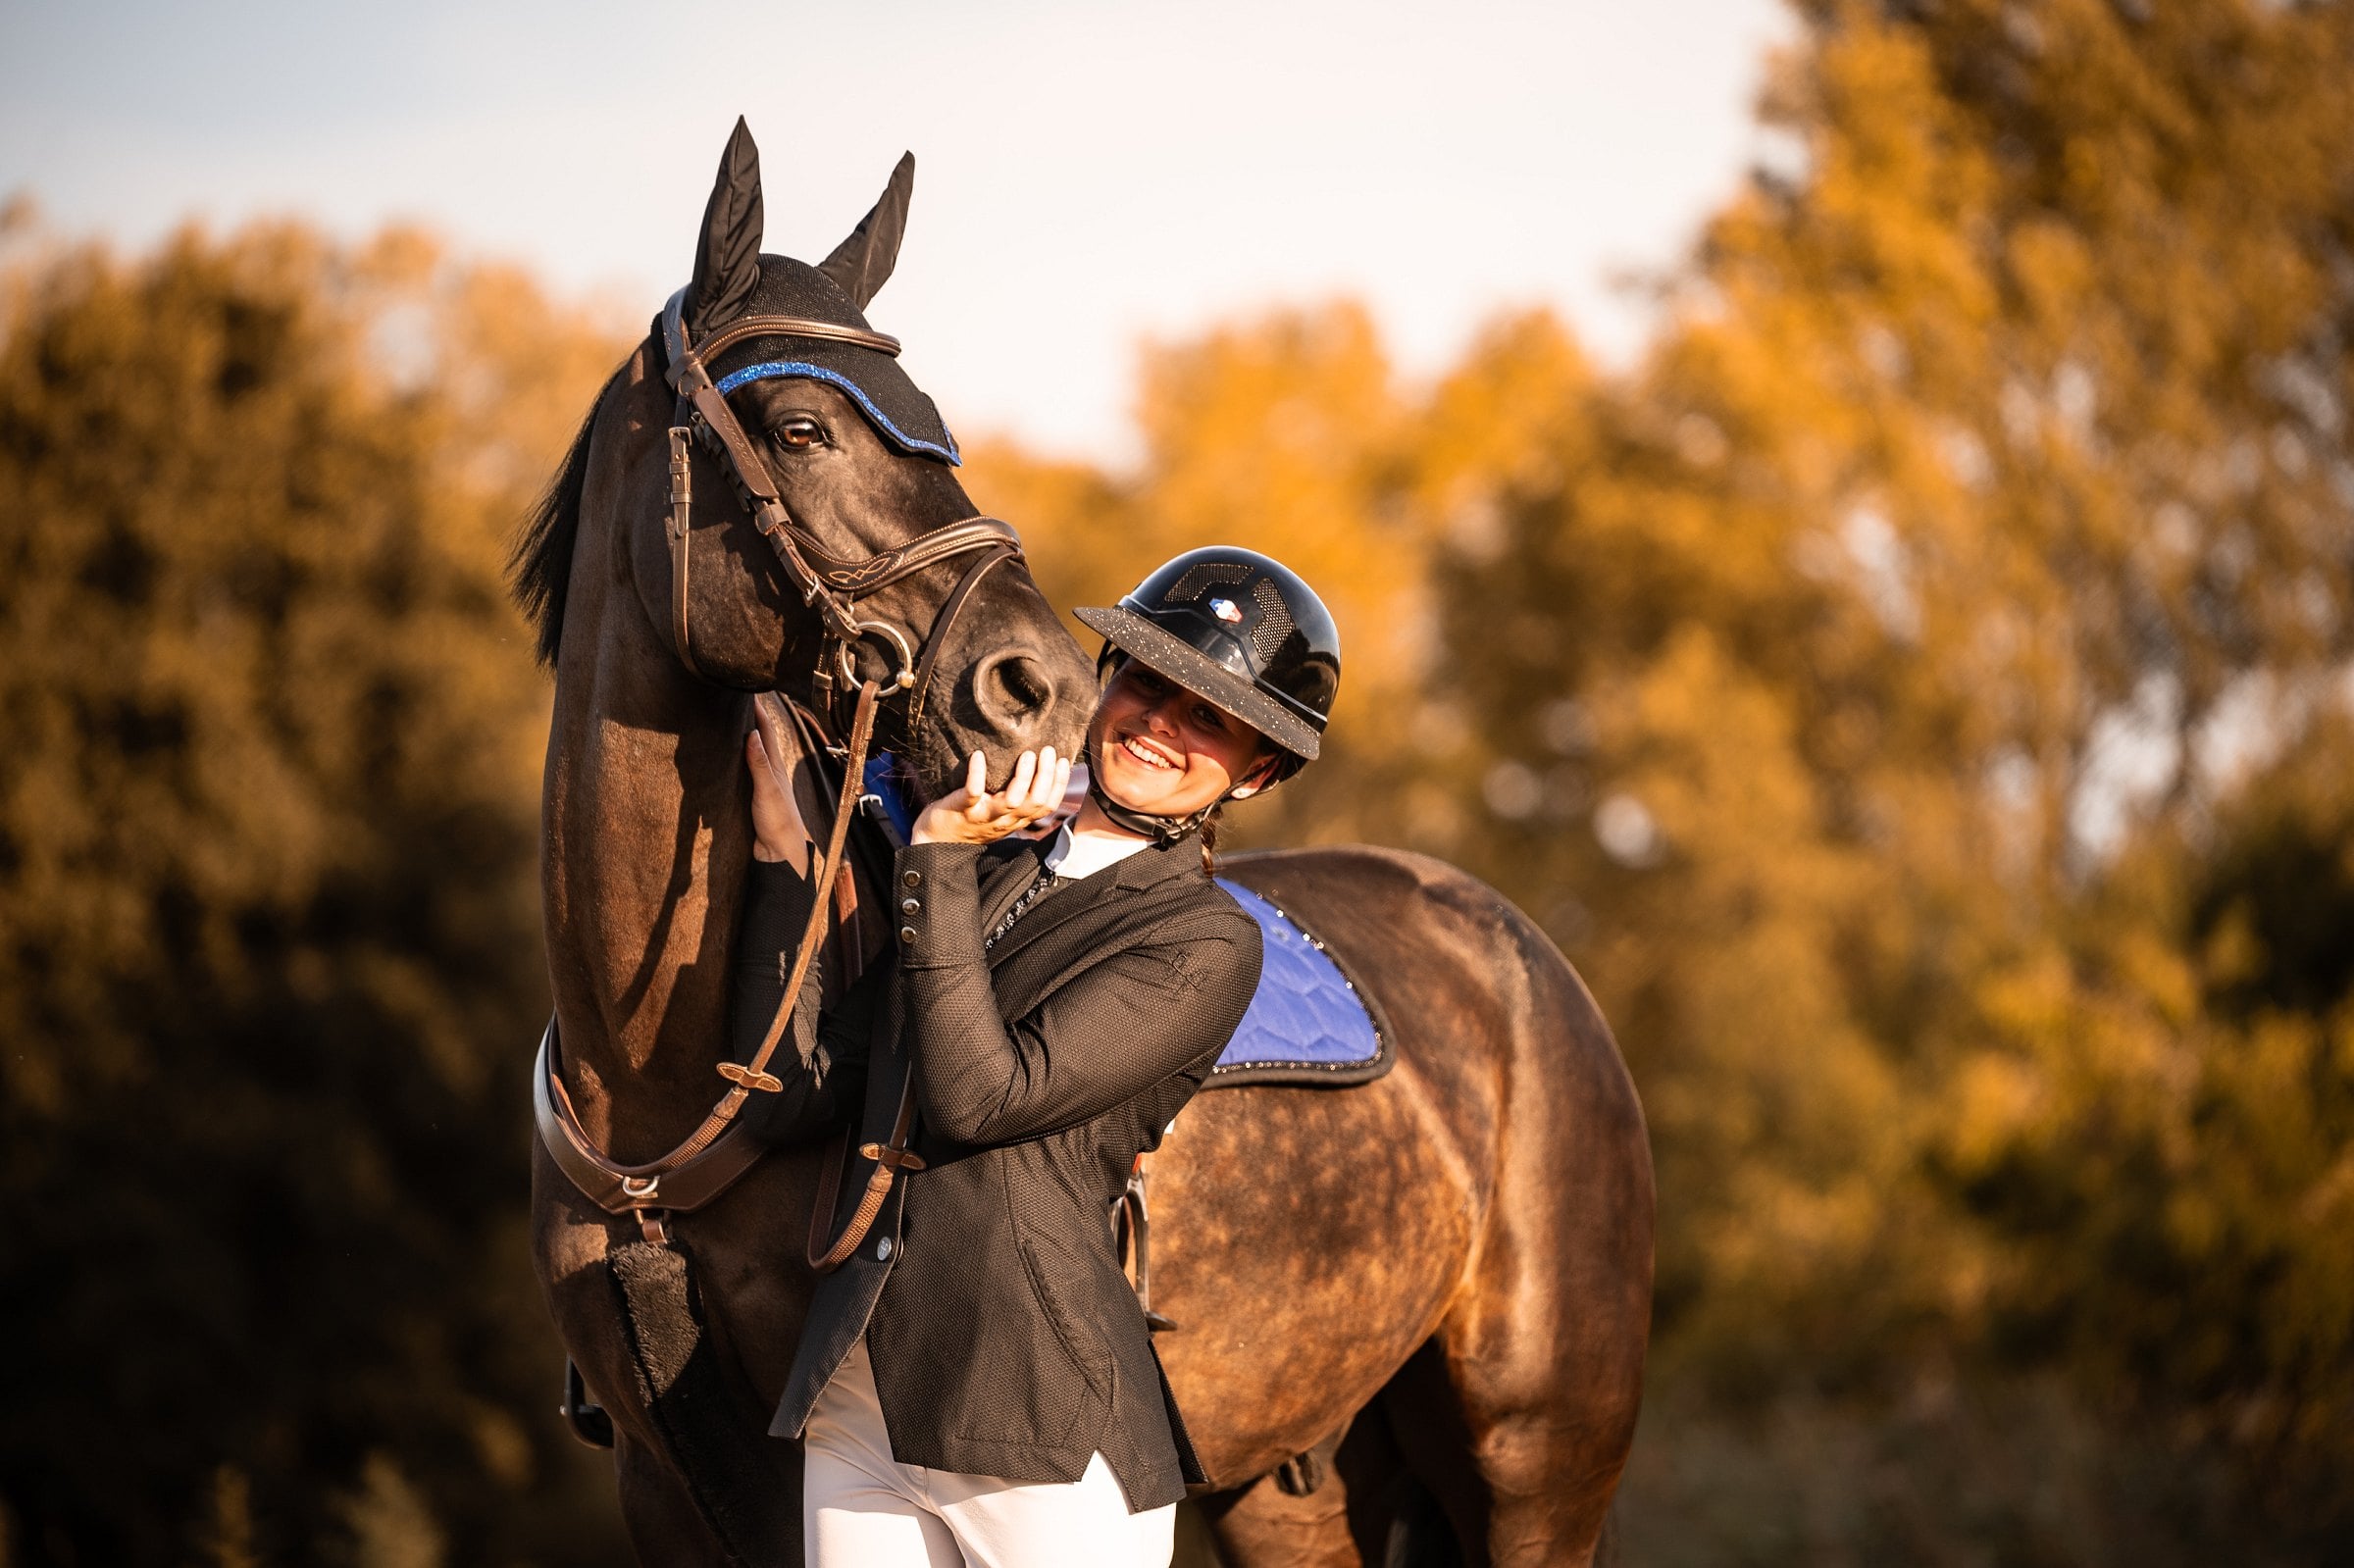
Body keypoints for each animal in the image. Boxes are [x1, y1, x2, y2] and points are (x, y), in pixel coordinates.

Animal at [519, 122, 1654, 1568]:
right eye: (799, 426)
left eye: (938, 428)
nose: (1040, 684)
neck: (659, 1082)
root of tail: (1525, 964)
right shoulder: (667, 1488)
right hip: (1289, 1481)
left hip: (1537, 1462)